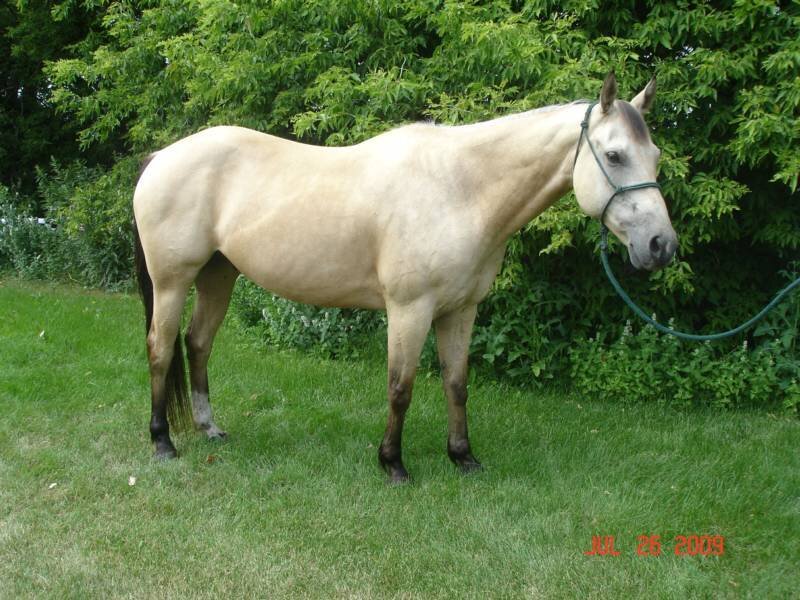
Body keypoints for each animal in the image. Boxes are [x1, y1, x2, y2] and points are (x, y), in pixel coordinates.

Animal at [133, 73, 677, 483]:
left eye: (654, 157)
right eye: (613, 155)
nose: (661, 246)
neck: (460, 188)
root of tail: (161, 157)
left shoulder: (461, 311)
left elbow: (457, 384)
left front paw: (463, 457)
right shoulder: (410, 309)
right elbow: (401, 387)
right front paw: (393, 464)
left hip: (218, 276)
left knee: (198, 344)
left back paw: (209, 428)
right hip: (173, 281)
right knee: (160, 348)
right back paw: (162, 442)